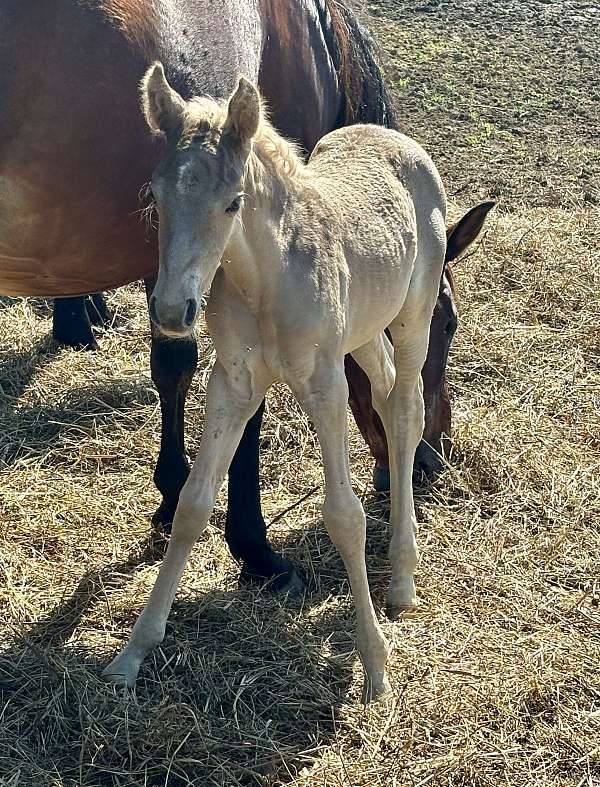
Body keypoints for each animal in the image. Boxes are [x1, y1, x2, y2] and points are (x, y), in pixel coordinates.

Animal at [104, 63, 450, 700]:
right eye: (157, 196)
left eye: (233, 203)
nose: (171, 311)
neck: (267, 279)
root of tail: (393, 137)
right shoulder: (233, 381)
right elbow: (192, 505)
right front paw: (133, 653)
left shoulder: (324, 382)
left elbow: (344, 515)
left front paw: (376, 667)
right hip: (362, 329)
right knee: (388, 389)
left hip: (413, 314)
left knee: (406, 405)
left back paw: (402, 580)